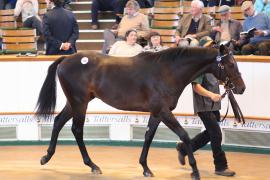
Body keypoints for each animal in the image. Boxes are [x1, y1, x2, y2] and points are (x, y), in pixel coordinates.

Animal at [35, 44, 245, 179]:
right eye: (231, 64)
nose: (241, 88)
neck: (167, 72)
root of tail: (67, 58)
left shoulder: (157, 113)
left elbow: (148, 136)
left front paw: (145, 168)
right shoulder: (164, 112)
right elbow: (184, 135)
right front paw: (195, 170)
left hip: (76, 102)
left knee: (58, 122)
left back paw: (46, 157)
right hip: (80, 103)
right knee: (76, 130)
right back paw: (92, 165)